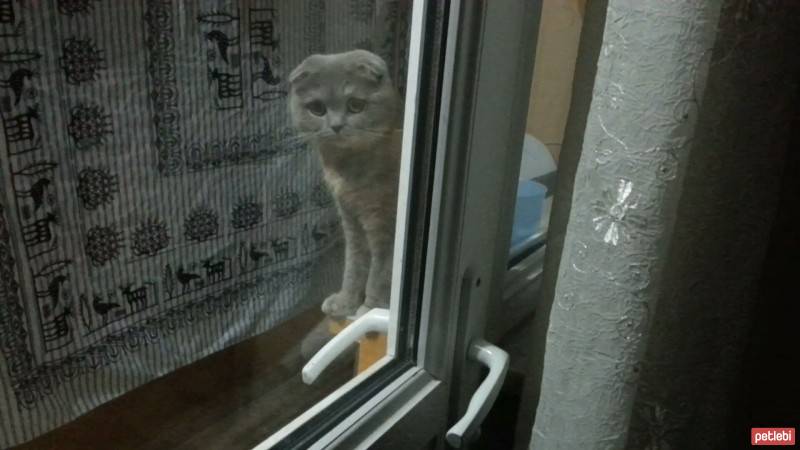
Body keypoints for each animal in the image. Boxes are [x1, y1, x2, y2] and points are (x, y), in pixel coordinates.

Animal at [288, 50, 404, 316]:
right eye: (317, 108)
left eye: (355, 105)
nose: (336, 126)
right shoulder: (350, 217)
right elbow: (354, 264)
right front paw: (345, 301)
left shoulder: (387, 224)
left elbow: (380, 274)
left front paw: (368, 309)